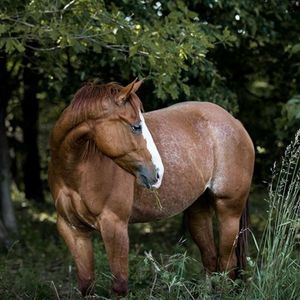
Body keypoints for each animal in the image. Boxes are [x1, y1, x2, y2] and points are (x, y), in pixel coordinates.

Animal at [48, 79, 254, 298]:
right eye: (136, 127)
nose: (158, 173)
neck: (76, 170)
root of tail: (235, 122)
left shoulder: (115, 226)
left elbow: (119, 285)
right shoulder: (73, 230)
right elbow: (87, 285)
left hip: (228, 212)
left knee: (227, 264)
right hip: (198, 210)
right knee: (210, 258)